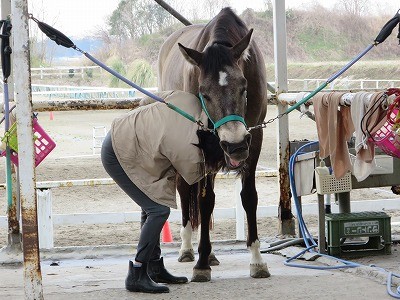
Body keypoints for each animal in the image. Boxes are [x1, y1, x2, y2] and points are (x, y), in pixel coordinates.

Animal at [158, 7, 270, 282]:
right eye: (204, 93)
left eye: (243, 87)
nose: (235, 145)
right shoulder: (202, 142)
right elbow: (205, 201)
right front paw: (201, 264)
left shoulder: (255, 138)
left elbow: (249, 197)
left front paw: (257, 260)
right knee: (186, 191)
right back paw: (189, 249)